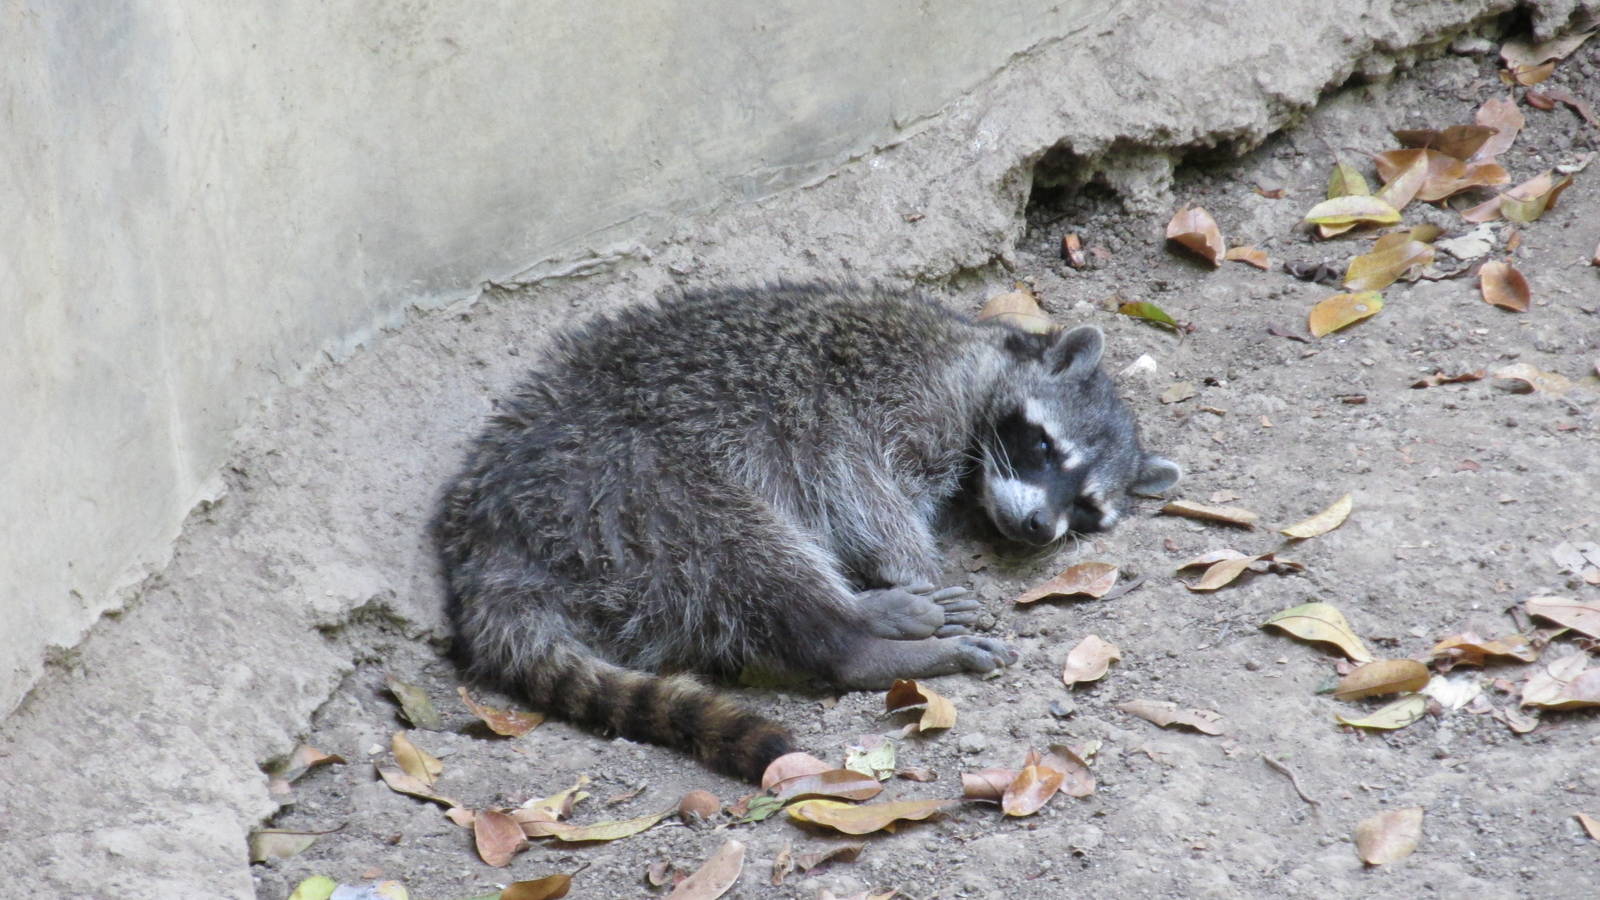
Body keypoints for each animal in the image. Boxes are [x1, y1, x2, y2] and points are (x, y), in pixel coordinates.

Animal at [435, 283, 1179, 781]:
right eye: (1045, 448)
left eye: (1086, 506)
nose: (1036, 526)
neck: (981, 356)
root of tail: (493, 540)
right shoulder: (877, 399)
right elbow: (857, 483)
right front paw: (913, 564)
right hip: (632, 491)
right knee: (747, 554)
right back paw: (862, 631)